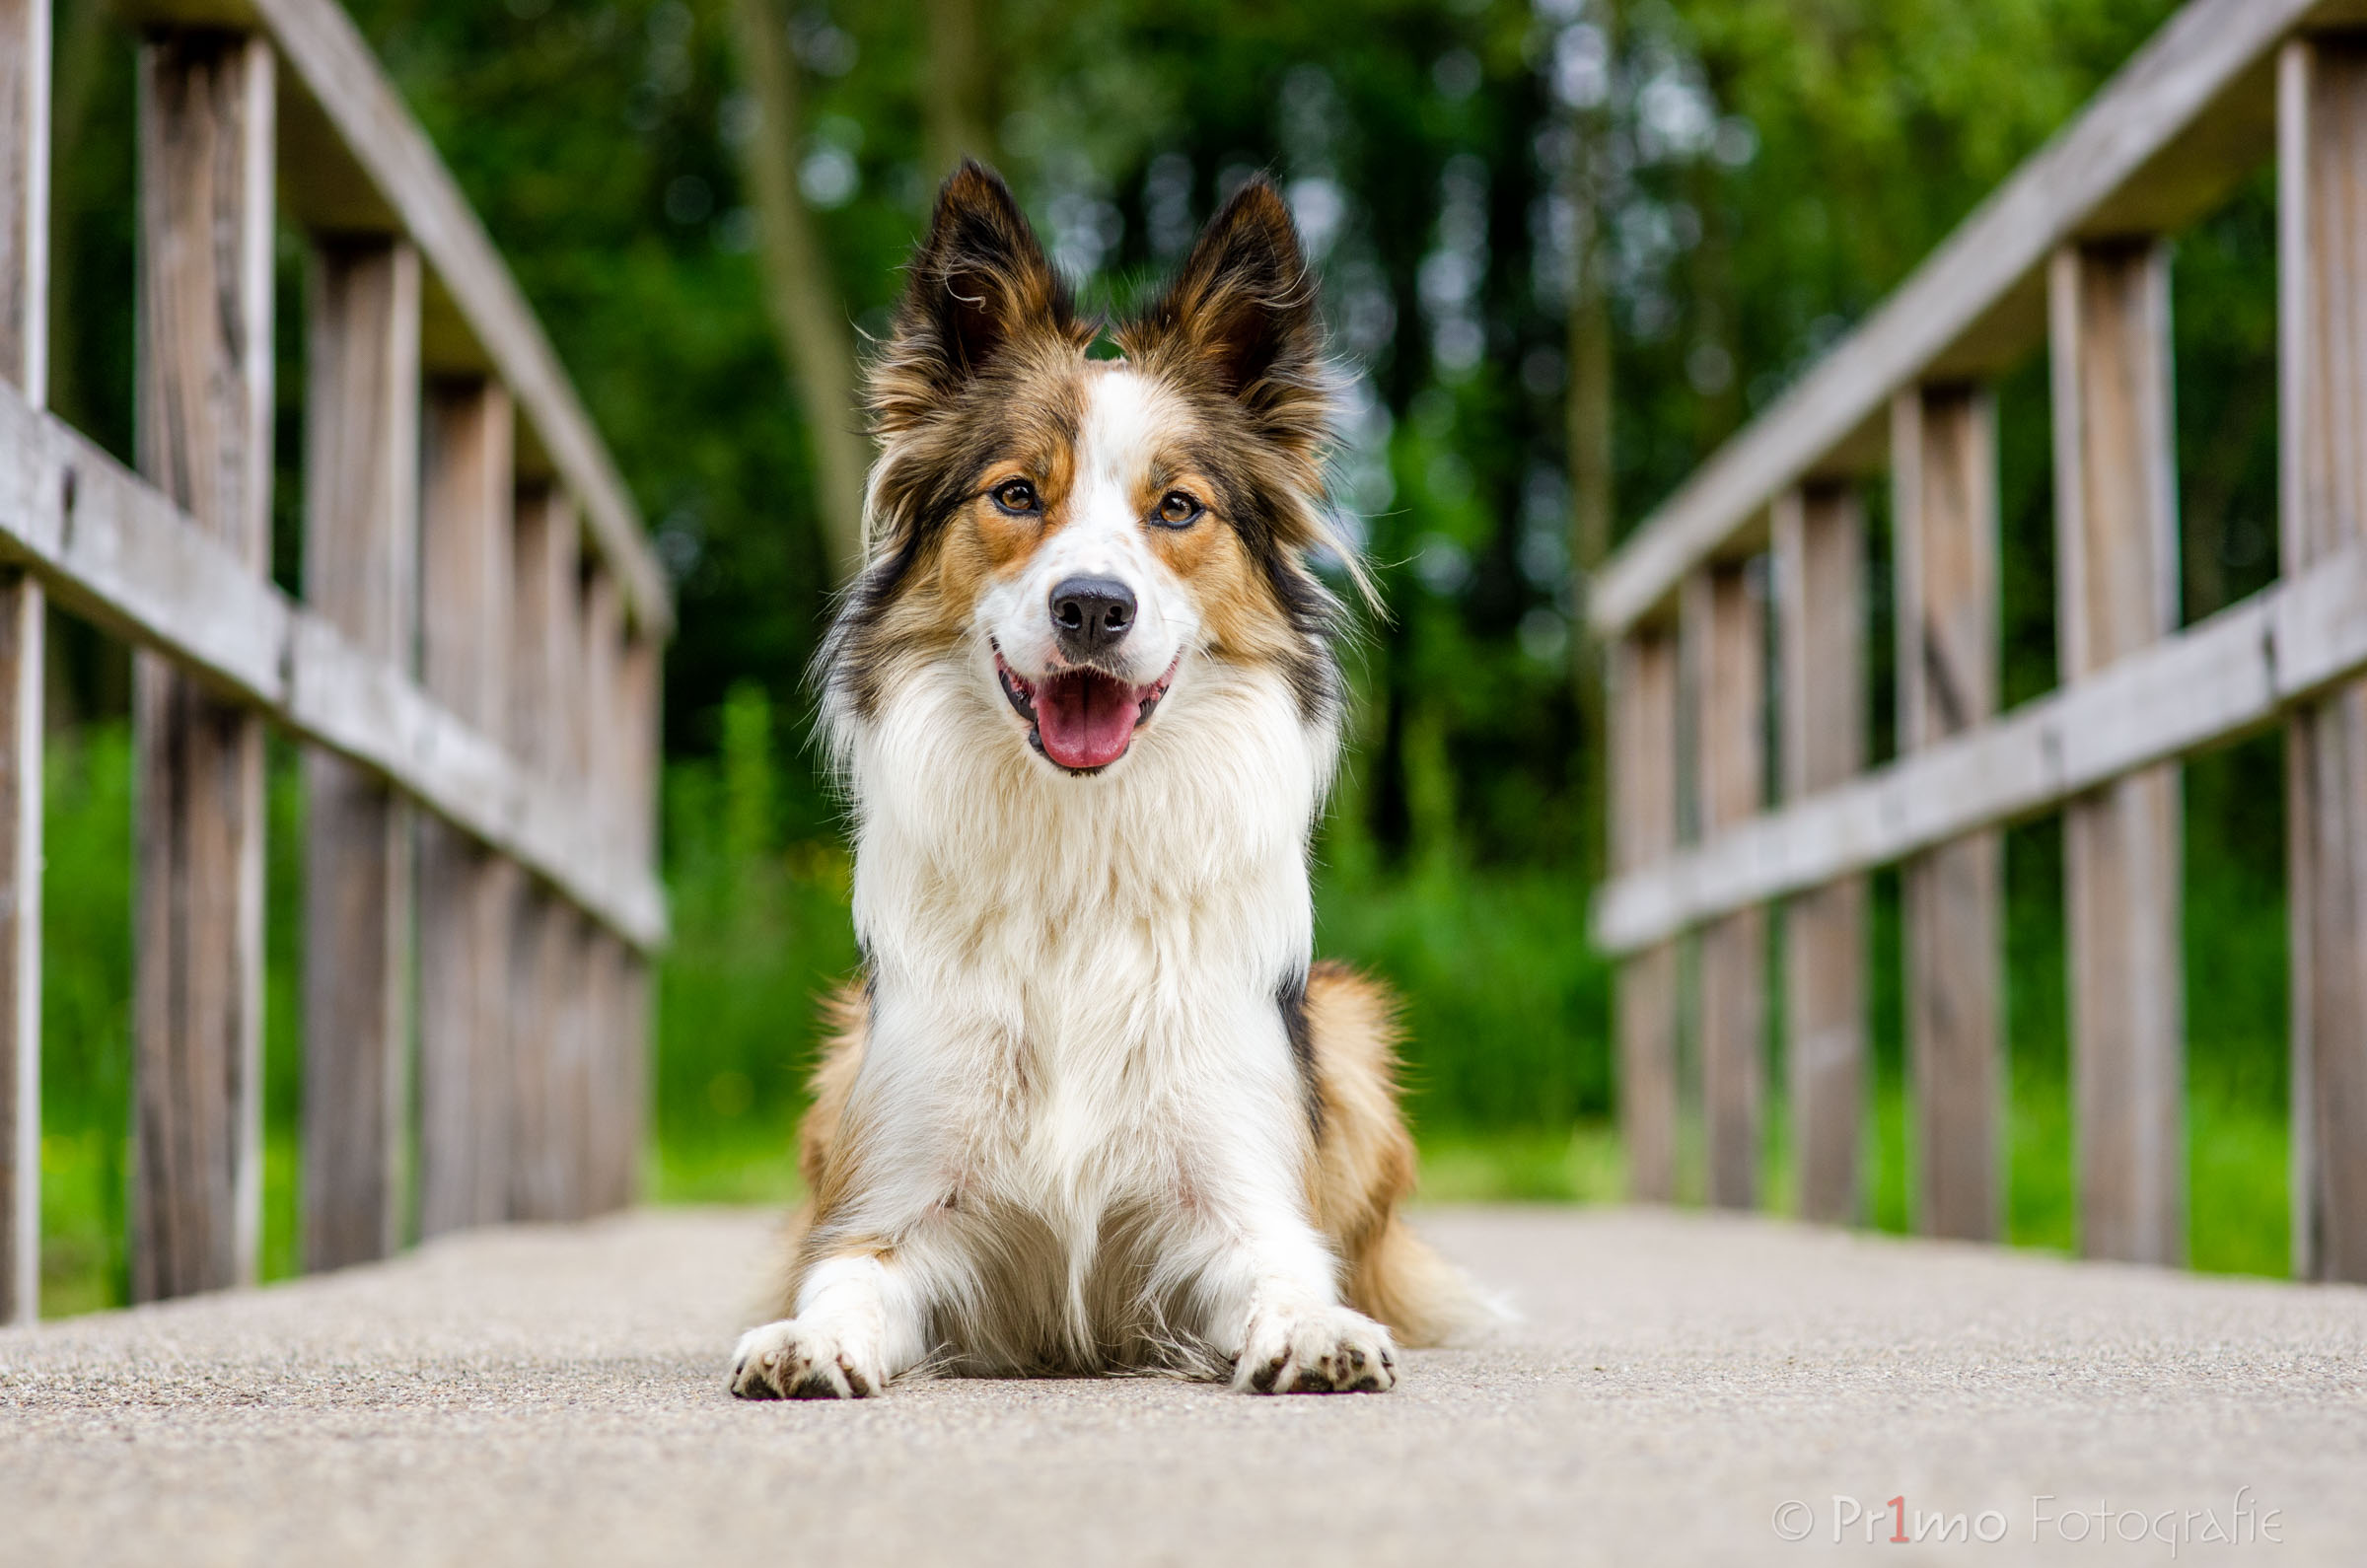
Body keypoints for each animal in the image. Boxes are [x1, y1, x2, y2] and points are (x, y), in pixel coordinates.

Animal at [729, 166, 1486, 1401]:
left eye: (1177, 508)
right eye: (1016, 496)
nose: (1091, 606)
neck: (1078, 853)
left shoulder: (1235, 1197)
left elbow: (1287, 1272)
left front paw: (1315, 1332)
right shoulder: (891, 1203)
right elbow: (842, 1279)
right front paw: (808, 1339)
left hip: (1351, 1026)